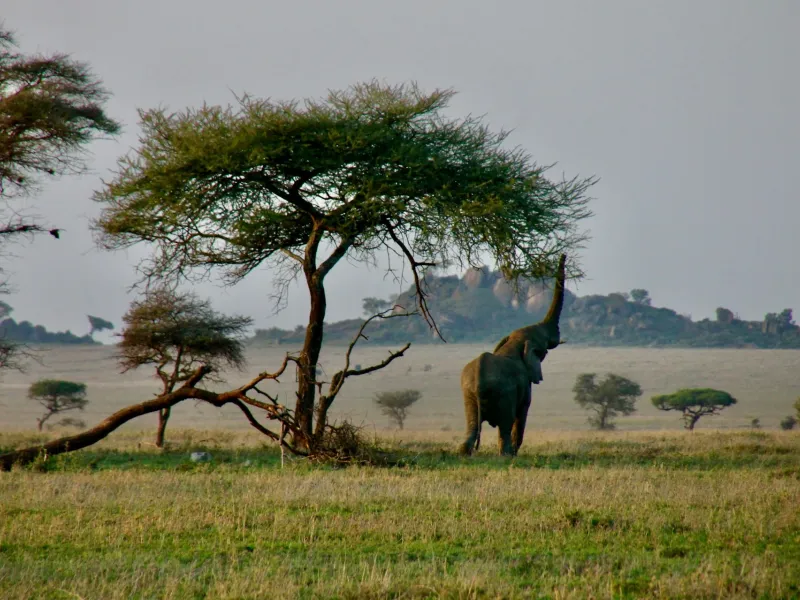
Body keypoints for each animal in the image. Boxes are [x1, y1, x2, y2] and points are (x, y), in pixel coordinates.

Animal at [459, 254, 566, 456]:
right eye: (543, 346)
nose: (563, 255)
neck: (514, 343)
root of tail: (479, 378)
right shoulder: (524, 383)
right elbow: (522, 412)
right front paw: (515, 453)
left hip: (468, 393)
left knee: (472, 424)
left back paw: (464, 453)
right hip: (503, 392)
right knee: (506, 423)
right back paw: (507, 455)